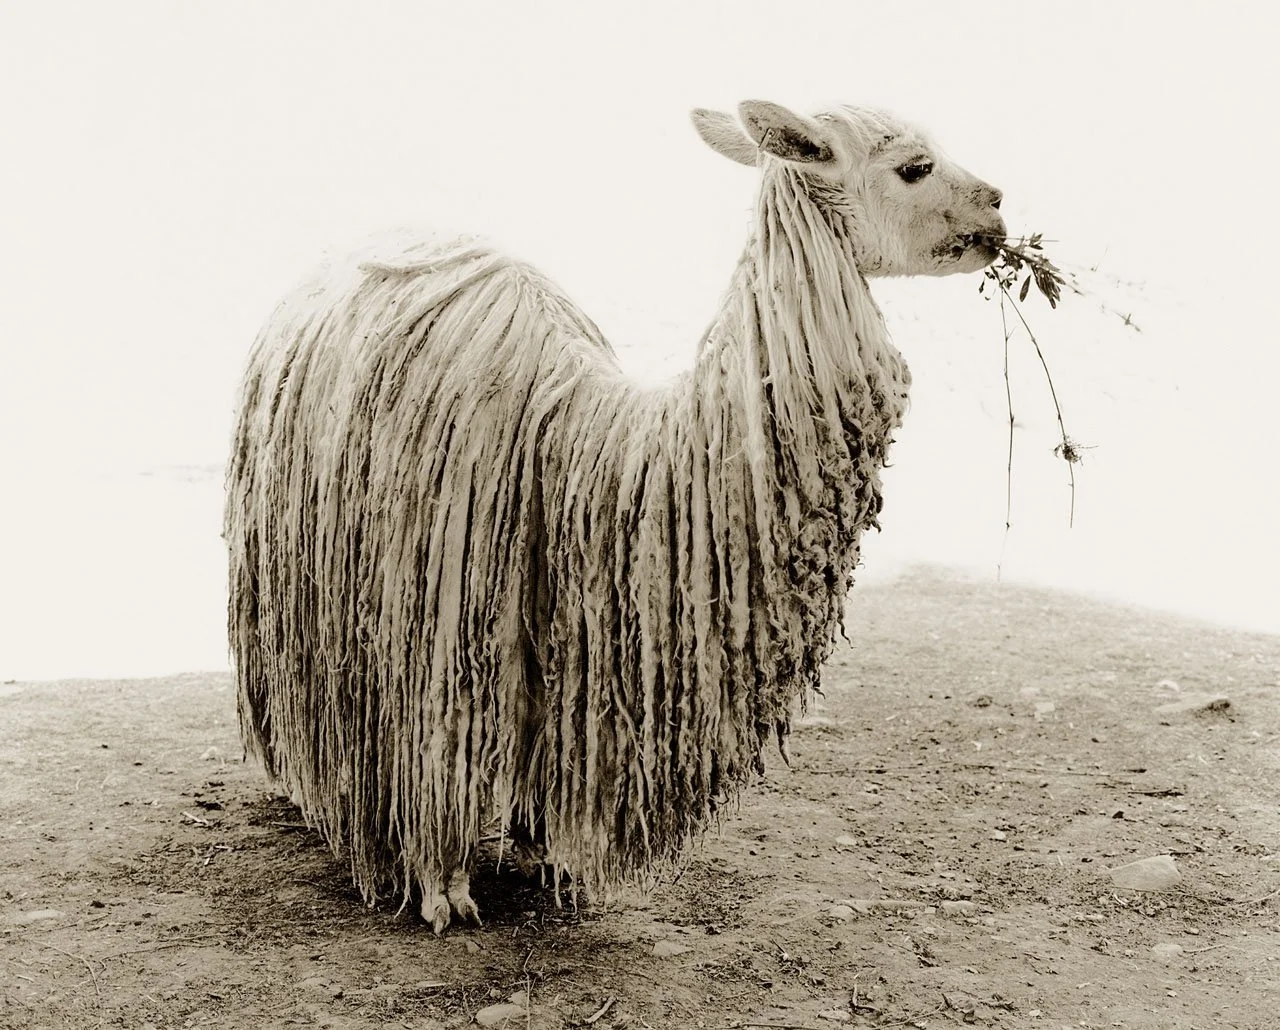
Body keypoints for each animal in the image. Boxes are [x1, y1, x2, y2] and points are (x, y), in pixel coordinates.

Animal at [225, 99, 1006, 932]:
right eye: (915, 166)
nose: (999, 208)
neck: (585, 446)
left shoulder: (567, 621)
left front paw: (540, 852)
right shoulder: (435, 623)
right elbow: (439, 745)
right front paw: (442, 888)